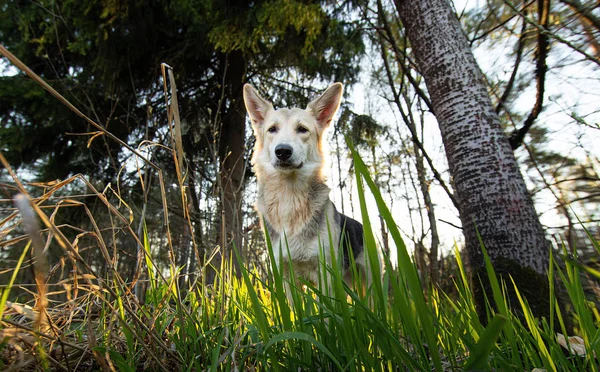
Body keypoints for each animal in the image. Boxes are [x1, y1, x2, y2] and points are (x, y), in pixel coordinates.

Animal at [240, 83, 372, 294]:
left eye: (302, 129)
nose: (283, 151)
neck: (290, 198)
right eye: (272, 129)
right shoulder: (284, 275)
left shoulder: (325, 275)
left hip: (369, 283)